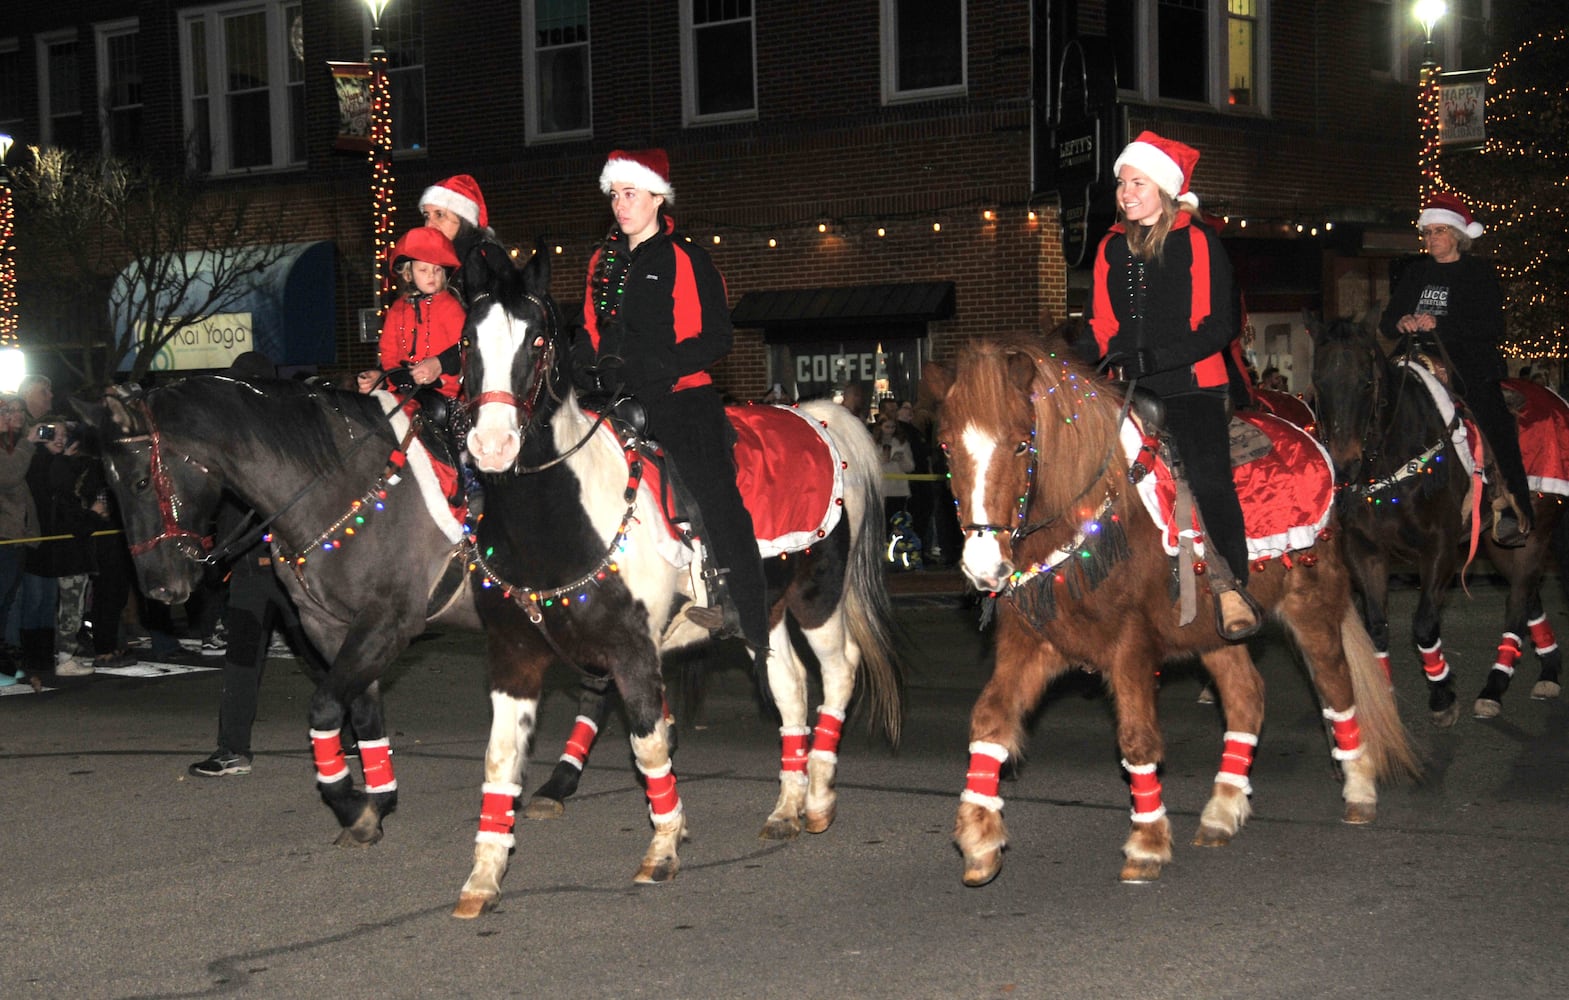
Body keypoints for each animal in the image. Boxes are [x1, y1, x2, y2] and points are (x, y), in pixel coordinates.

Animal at [448, 252, 903, 916]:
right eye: (466, 342)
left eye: (536, 340)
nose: (493, 443)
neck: (560, 520)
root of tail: (819, 415)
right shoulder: (513, 658)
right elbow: (500, 760)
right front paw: (483, 876)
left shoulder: (632, 652)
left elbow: (649, 745)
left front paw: (662, 848)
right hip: (761, 610)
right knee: (791, 686)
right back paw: (787, 809)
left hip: (817, 596)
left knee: (838, 670)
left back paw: (818, 799)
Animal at [916, 331, 1424, 885]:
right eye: (946, 447)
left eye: (1021, 444)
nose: (984, 566)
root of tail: (1307, 432)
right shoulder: (1035, 643)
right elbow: (990, 721)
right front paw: (979, 837)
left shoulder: (1131, 645)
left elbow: (1137, 740)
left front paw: (1147, 842)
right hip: (1216, 631)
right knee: (1247, 697)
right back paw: (1223, 809)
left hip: (1312, 600)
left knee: (1336, 687)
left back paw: (1358, 787)